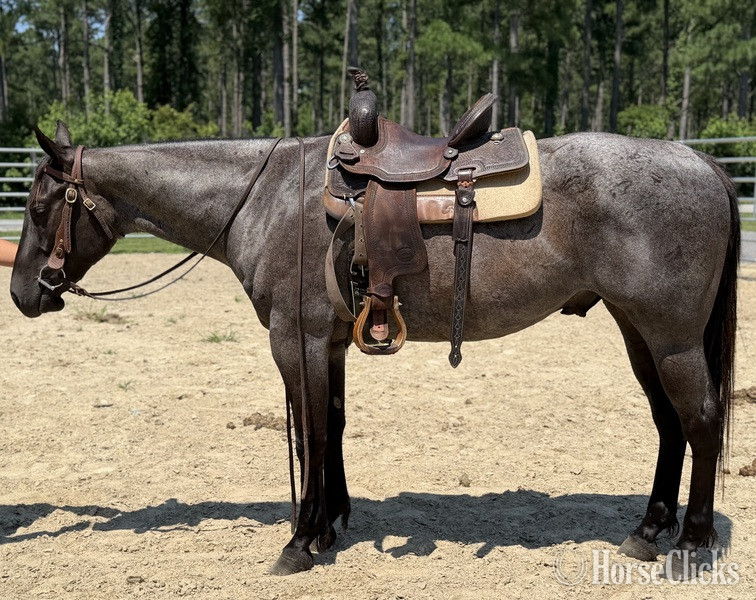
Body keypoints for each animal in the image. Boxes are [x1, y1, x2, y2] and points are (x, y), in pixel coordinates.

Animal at [9, 121, 739, 576]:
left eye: (41, 206)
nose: (21, 294)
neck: (267, 198)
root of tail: (700, 160)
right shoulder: (328, 342)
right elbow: (331, 426)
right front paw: (331, 523)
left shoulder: (295, 338)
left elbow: (308, 431)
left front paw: (300, 540)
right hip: (638, 331)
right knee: (670, 425)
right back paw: (648, 532)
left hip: (671, 338)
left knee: (700, 420)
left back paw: (693, 543)